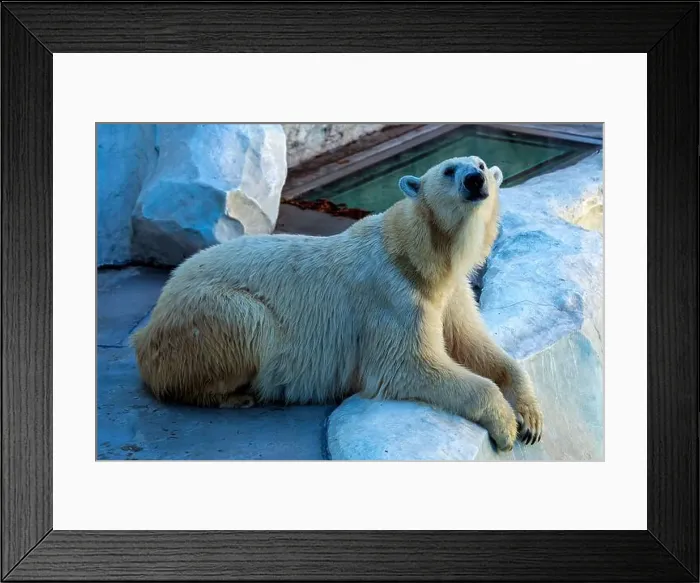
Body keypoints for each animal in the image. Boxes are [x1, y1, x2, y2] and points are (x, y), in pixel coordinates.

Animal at [131, 155, 544, 451]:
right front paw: (506, 425)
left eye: (480, 165)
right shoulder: (392, 296)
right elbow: (408, 365)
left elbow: (474, 345)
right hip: (208, 313)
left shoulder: (450, 294)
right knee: (246, 323)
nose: (474, 180)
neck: (415, 256)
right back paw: (236, 397)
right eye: (448, 169)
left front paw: (531, 418)